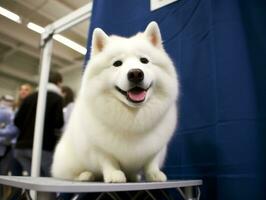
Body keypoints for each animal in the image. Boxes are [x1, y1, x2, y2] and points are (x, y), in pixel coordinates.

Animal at [51, 21, 179, 183]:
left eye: (144, 61)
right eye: (117, 63)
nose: (135, 73)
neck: (133, 117)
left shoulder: (157, 147)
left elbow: (151, 162)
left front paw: (154, 174)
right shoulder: (99, 148)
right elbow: (108, 161)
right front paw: (114, 174)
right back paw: (86, 175)